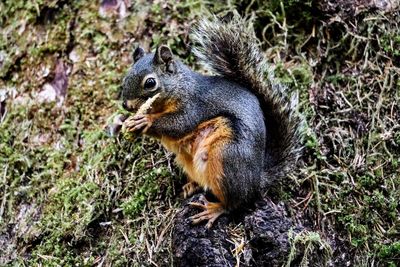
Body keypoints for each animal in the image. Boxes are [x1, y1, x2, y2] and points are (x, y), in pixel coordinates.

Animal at [119, 14, 304, 228]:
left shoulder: (194, 105)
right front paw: (128, 122)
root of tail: (257, 179)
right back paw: (191, 186)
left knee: (236, 203)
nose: (126, 105)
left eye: (150, 83)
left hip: (226, 157)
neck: (179, 88)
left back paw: (214, 210)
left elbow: (180, 124)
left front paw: (144, 120)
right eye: (125, 78)